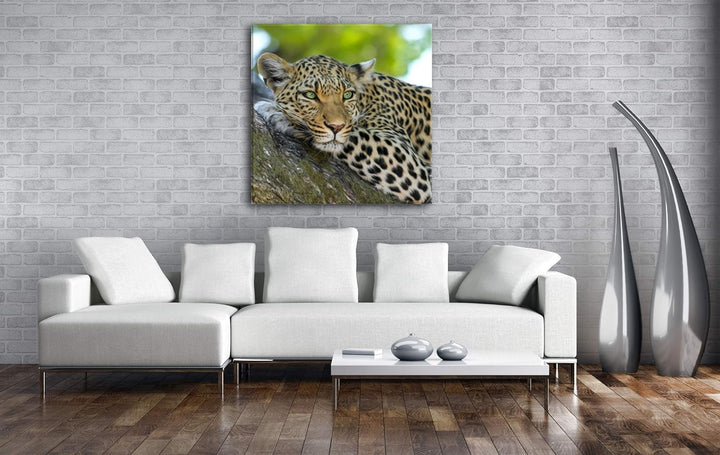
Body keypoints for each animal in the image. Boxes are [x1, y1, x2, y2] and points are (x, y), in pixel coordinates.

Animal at [254, 53, 432, 204]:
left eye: (347, 95)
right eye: (310, 95)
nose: (336, 126)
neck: (367, 98)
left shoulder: (410, 161)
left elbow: (353, 133)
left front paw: (278, 113)